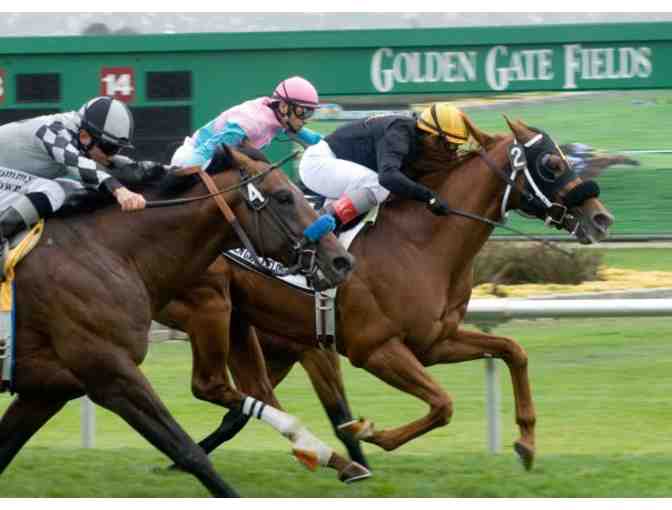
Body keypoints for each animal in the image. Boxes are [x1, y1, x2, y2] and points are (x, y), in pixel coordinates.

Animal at [0, 147, 357, 497]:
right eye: (283, 196)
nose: (342, 260)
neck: (108, 254)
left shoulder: (49, 389)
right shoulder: (111, 374)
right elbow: (188, 452)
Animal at [157, 116, 615, 472]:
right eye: (552, 163)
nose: (601, 218)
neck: (423, 241)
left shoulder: (434, 342)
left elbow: (512, 350)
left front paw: (526, 443)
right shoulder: (374, 348)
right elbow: (442, 404)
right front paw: (370, 432)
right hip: (209, 310)